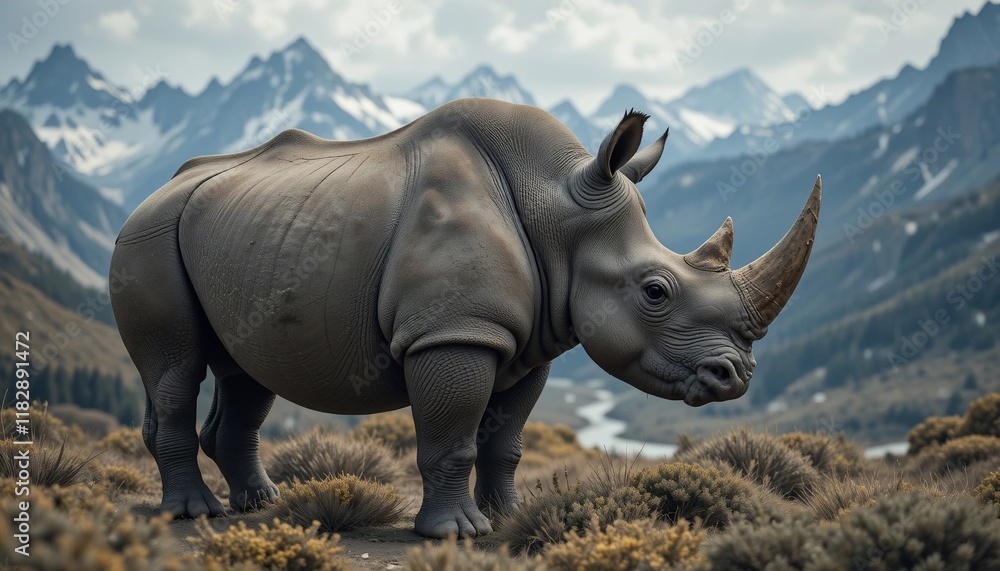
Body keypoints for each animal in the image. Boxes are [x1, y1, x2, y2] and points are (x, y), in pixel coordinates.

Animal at [110, 98, 820, 538]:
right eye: (655, 291)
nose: (736, 378)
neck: (559, 207)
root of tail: (154, 190)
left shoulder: (531, 342)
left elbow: (506, 440)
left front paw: (508, 518)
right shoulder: (454, 331)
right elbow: (451, 430)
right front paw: (454, 533)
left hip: (244, 234)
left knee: (248, 374)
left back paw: (261, 506)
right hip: (149, 236)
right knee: (177, 368)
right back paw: (194, 516)